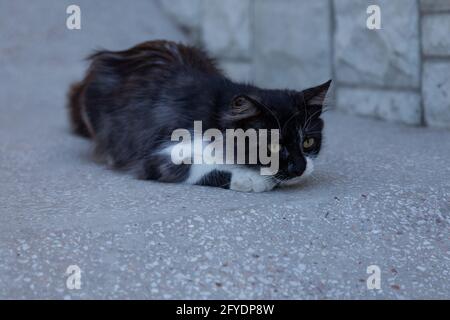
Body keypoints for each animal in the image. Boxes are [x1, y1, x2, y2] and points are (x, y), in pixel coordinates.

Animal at [68, 39, 332, 191]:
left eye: (308, 142)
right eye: (272, 147)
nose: (300, 167)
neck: (217, 117)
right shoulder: (157, 148)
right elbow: (189, 166)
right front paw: (248, 178)